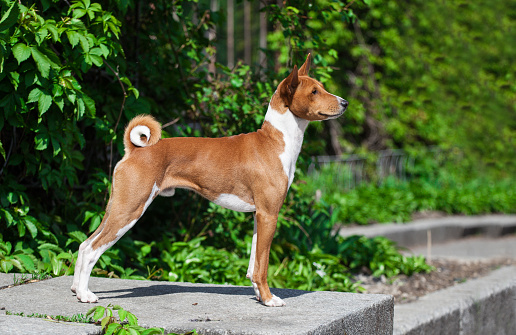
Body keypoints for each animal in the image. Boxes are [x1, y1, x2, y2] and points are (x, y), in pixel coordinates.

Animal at [71, 53, 346, 308]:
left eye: (322, 86)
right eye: (314, 91)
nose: (344, 103)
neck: (275, 141)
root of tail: (134, 150)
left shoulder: (260, 215)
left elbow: (253, 265)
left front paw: (259, 296)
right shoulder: (269, 214)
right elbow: (263, 266)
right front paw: (269, 300)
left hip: (116, 208)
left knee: (85, 244)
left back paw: (76, 289)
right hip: (129, 210)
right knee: (93, 249)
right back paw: (85, 295)